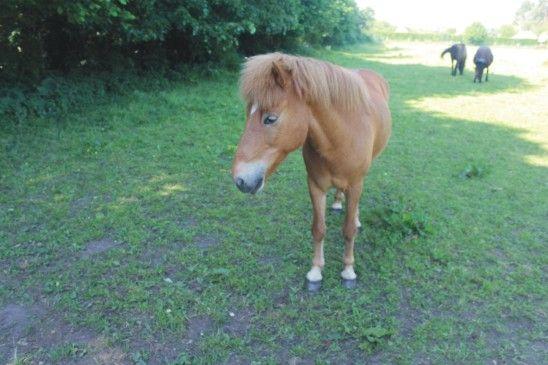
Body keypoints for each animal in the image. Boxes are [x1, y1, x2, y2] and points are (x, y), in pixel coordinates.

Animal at [229, 52, 392, 290]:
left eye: (270, 118)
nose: (240, 180)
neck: (340, 138)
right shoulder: (315, 185)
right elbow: (318, 229)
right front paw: (315, 272)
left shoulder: (355, 185)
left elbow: (348, 230)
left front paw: (348, 271)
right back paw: (337, 202)